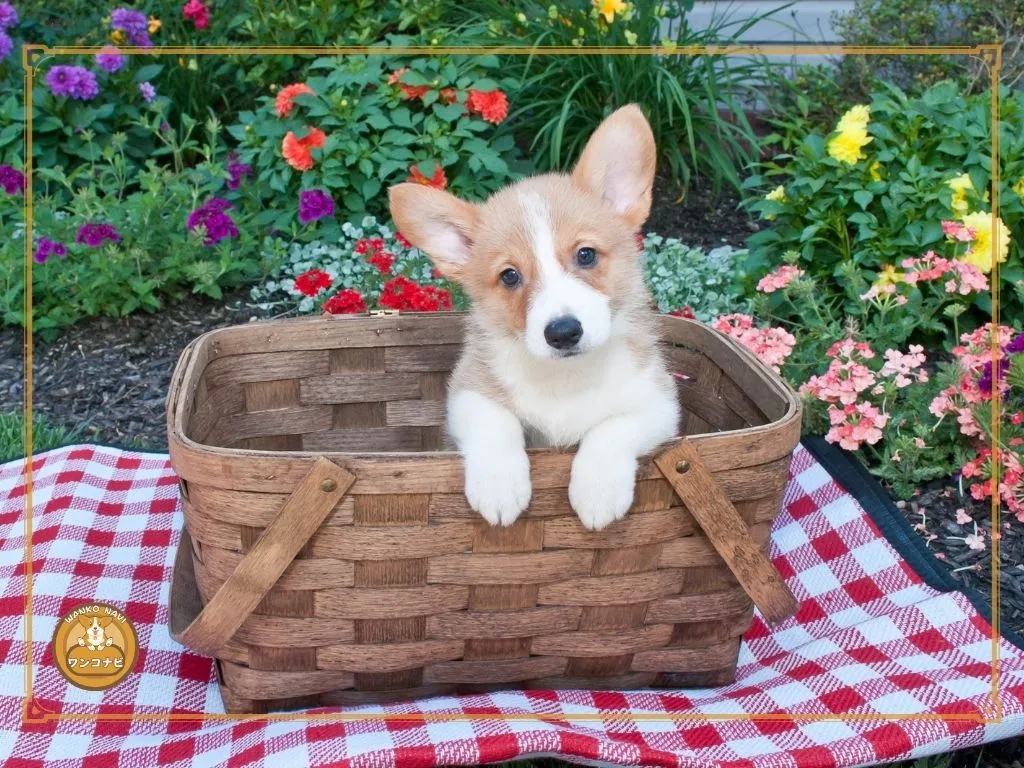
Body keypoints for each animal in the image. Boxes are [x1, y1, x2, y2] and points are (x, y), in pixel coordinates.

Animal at [389, 105, 679, 532]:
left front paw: (598, 493)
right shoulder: (468, 393)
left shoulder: (658, 404)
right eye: (510, 276)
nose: (563, 332)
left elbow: (612, 428)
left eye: (586, 255)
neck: (565, 378)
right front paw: (499, 488)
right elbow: (497, 424)